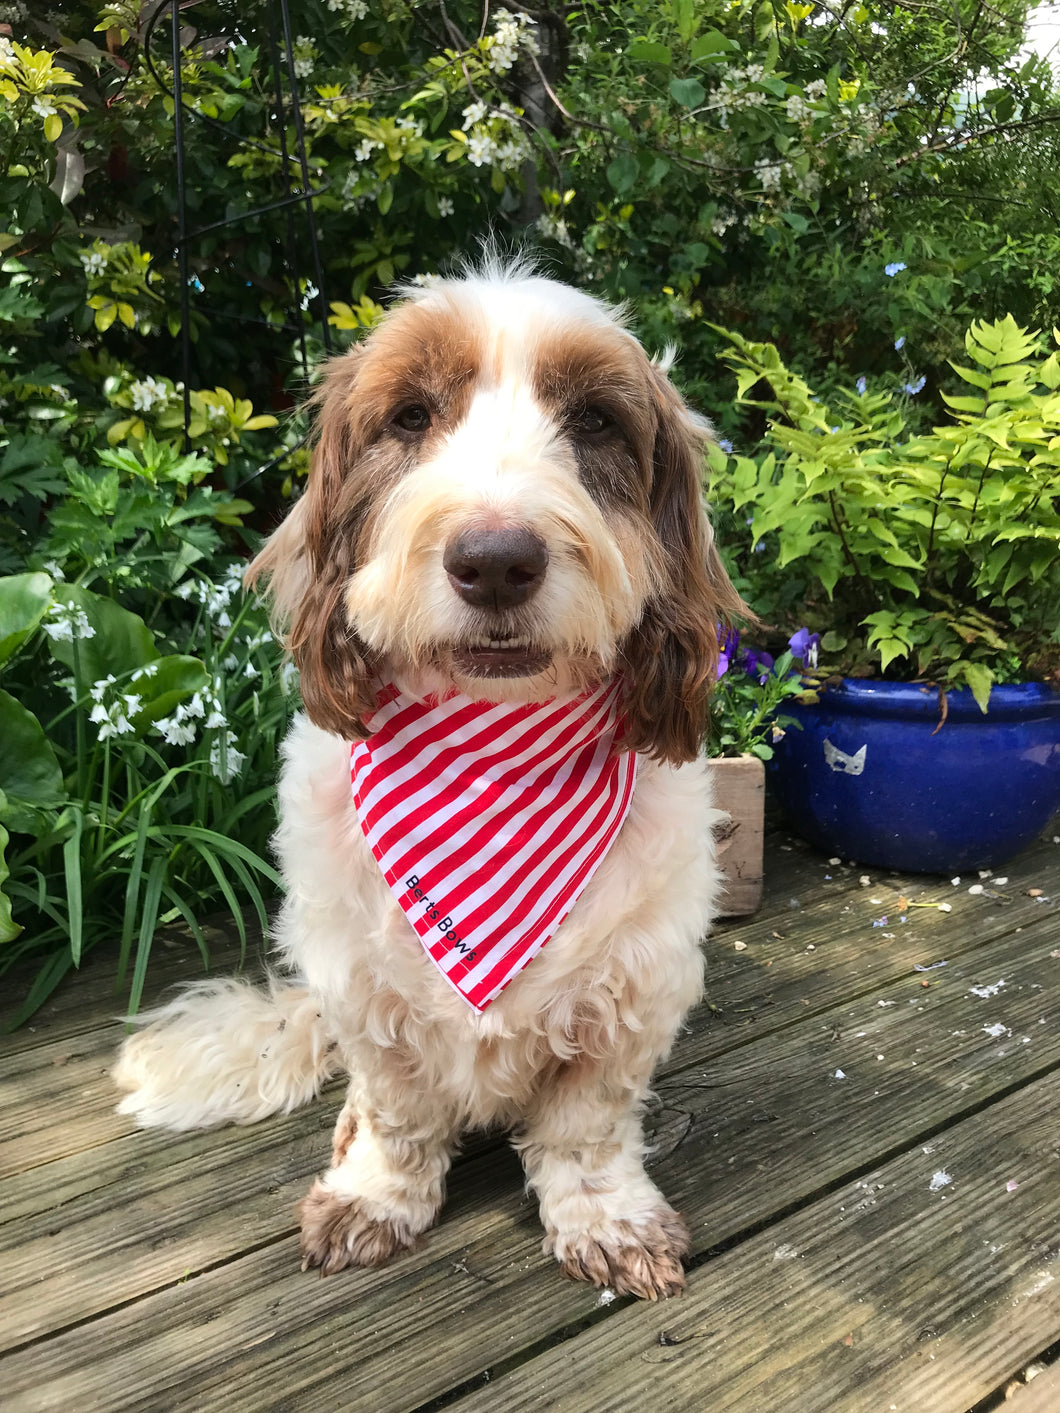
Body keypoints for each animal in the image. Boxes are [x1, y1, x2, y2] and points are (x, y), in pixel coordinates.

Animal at [114, 262, 746, 1299]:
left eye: (595, 421)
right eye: (410, 415)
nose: (494, 560)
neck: (492, 751)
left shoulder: (631, 991)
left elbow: (588, 1129)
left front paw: (606, 1219)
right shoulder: (365, 990)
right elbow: (395, 1113)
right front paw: (374, 1197)